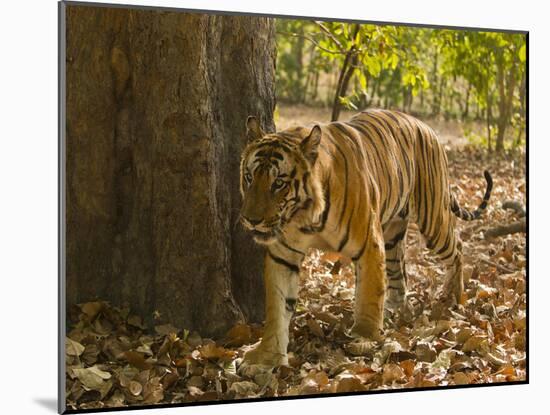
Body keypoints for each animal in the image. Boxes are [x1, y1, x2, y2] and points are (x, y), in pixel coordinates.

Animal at [239, 109, 494, 368]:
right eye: (249, 177)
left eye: (278, 183)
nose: (250, 220)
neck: (305, 218)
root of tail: (427, 127)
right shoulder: (283, 255)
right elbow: (277, 307)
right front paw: (265, 357)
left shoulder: (369, 244)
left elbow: (369, 294)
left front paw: (365, 338)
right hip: (392, 236)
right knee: (400, 276)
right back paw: (392, 311)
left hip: (433, 220)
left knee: (458, 247)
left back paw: (453, 297)